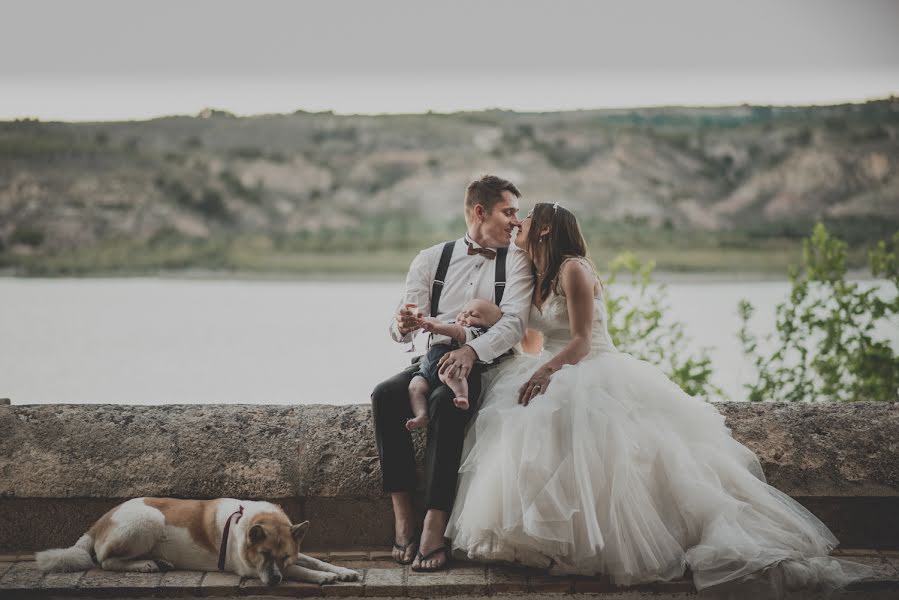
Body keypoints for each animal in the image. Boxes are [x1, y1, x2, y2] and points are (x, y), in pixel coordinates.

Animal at [36, 496, 358, 584]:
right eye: (265, 555)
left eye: (283, 556)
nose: (276, 580)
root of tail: (97, 524)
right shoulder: (251, 568)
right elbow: (302, 569)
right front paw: (322, 578)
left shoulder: (293, 556)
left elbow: (313, 559)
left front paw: (342, 571)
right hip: (150, 519)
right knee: (105, 561)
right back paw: (146, 565)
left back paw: (159, 561)